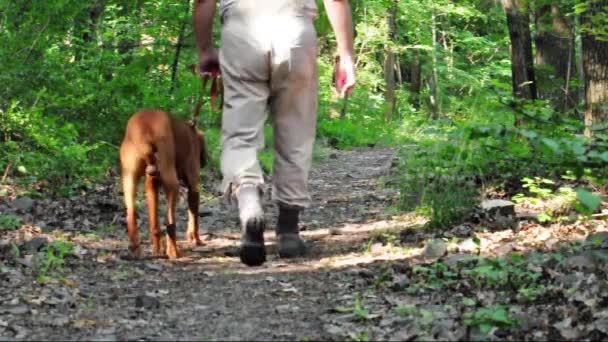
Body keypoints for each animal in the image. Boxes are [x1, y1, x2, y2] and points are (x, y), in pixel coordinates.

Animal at [117, 110, 208, 260]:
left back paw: (136, 249)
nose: (205, 162)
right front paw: (196, 239)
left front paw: (157, 249)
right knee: (170, 221)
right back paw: (173, 251)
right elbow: (194, 218)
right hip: (173, 184)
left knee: (132, 215)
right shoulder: (193, 186)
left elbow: (154, 223)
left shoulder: (152, 184)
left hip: (129, 178)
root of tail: (142, 130)